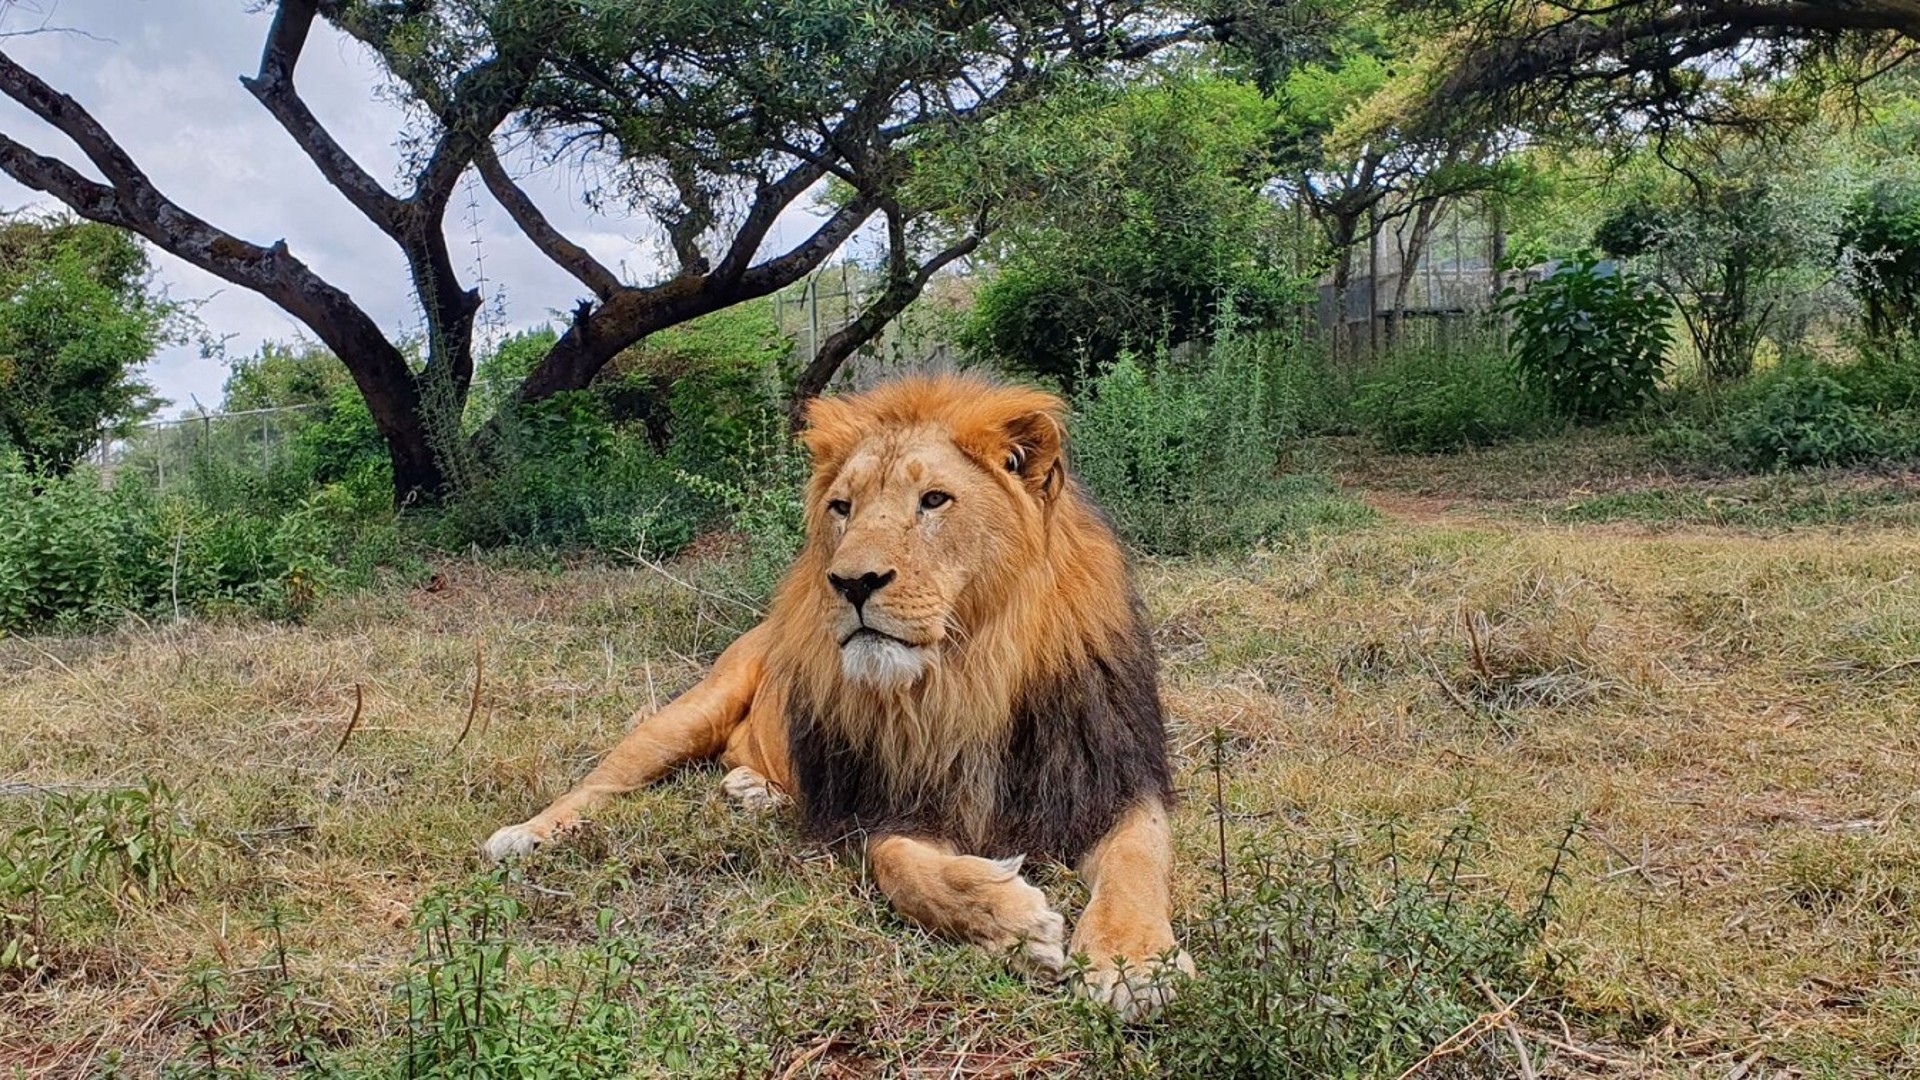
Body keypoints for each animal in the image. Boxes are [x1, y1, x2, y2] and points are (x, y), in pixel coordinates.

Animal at [483, 374, 1182, 1014]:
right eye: (842, 507)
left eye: (934, 500)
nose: (851, 582)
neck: (964, 681)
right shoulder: (877, 805)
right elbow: (899, 864)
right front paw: (1008, 923)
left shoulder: (1110, 780)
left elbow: (1137, 860)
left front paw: (1131, 964)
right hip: (691, 711)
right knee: (599, 783)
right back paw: (525, 835)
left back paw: (753, 790)